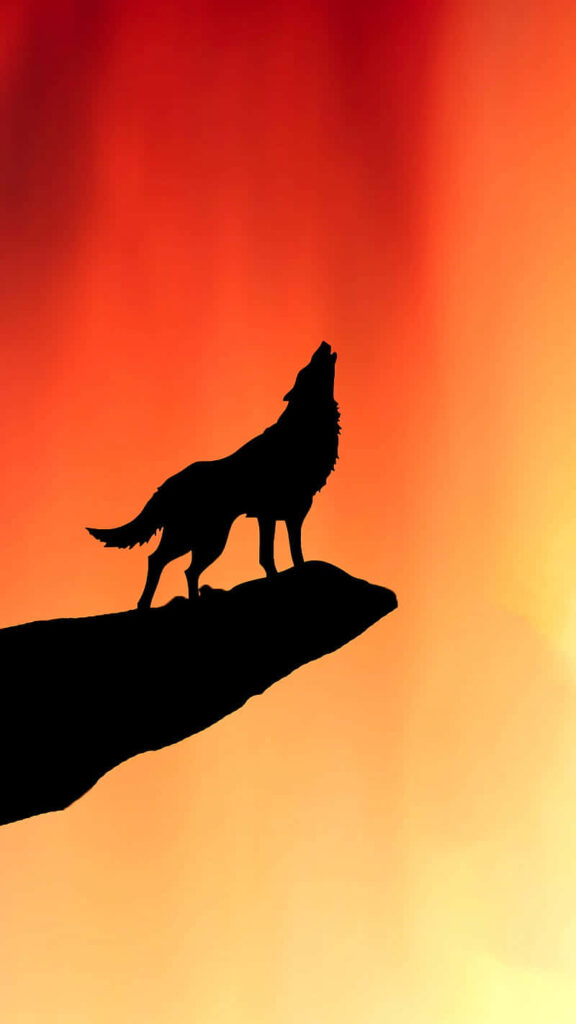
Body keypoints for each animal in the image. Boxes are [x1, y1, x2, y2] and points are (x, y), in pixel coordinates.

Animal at [87, 341, 339, 609]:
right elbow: (279, 556)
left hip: (206, 541)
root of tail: (167, 484)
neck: (301, 430)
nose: (323, 344)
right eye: (306, 369)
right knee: (158, 560)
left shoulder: (285, 516)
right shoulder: (276, 515)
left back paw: (192, 601)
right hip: (199, 539)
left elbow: (284, 555)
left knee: (187, 570)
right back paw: (145, 605)